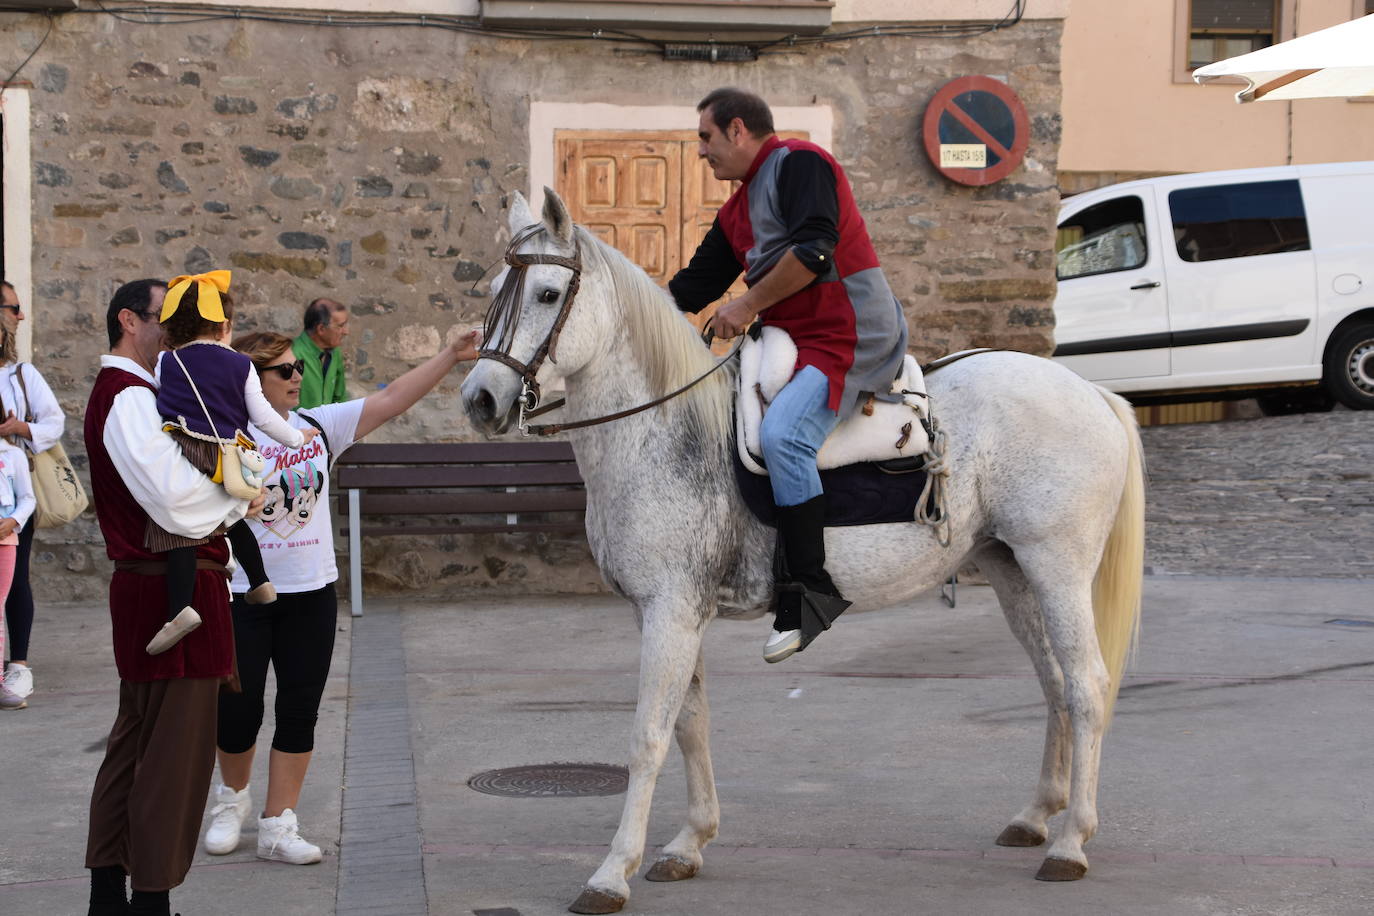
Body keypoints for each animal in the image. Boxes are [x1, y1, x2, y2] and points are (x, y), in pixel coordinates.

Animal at [464, 189, 1148, 911]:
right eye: (494, 289)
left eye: (546, 293)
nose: (479, 399)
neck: (664, 431)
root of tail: (1090, 392)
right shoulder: (675, 612)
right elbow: (690, 722)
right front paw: (688, 844)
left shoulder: (669, 611)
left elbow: (648, 736)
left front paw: (610, 873)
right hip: (1013, 571)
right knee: (1053, 682)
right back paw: (1037, 815)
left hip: (1057, 568)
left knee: (1086, 685)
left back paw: (1071, 842)